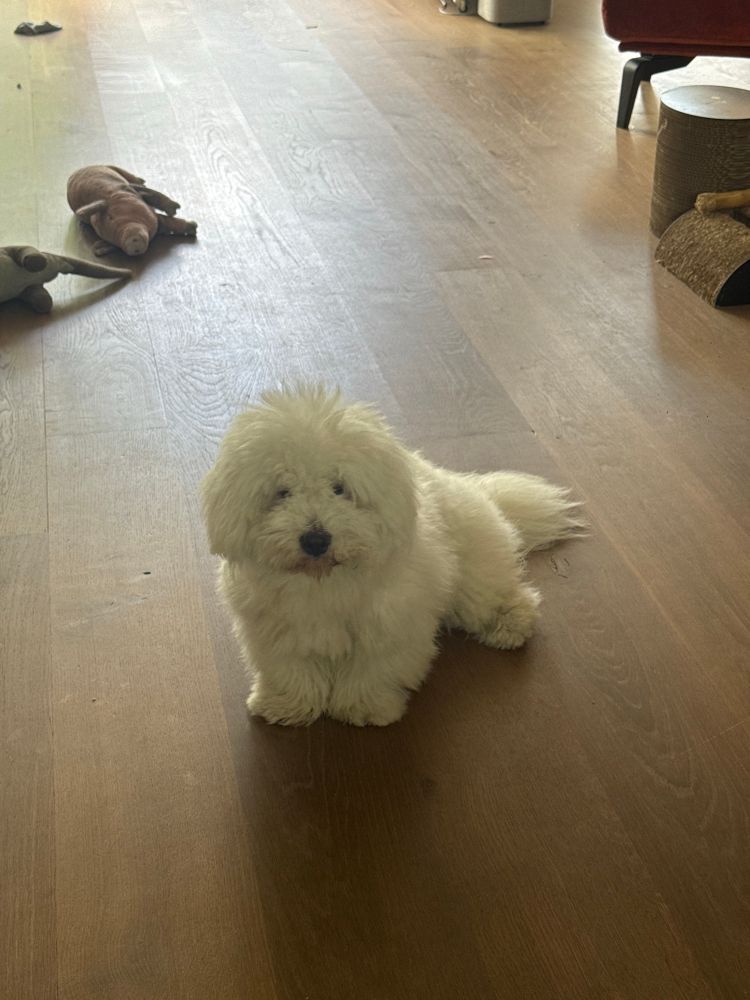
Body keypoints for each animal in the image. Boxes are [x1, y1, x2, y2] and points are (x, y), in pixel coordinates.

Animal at [201, 386, 583, 727]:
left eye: (339, 488)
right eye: (282, 492)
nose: (315, 539)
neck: (326, 579)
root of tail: (478, 490)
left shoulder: (391, 626)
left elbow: (372, 671)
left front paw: (363, 708)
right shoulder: (278, 631)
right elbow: (291, 671)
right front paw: (285, 705)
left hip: (474, 577)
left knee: (505, 596)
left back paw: (509, 625)